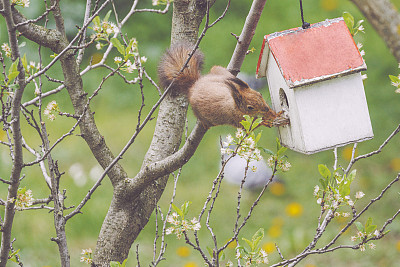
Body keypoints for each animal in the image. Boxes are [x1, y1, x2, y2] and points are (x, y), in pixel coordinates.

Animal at [158, 42, 290, 129]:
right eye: (250, 107)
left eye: (260, 94)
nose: (266, 109)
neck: (235, 105)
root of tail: (195, 84)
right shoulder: (238, 120)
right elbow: (250, 126)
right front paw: (266, 122)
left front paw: (274, 114)